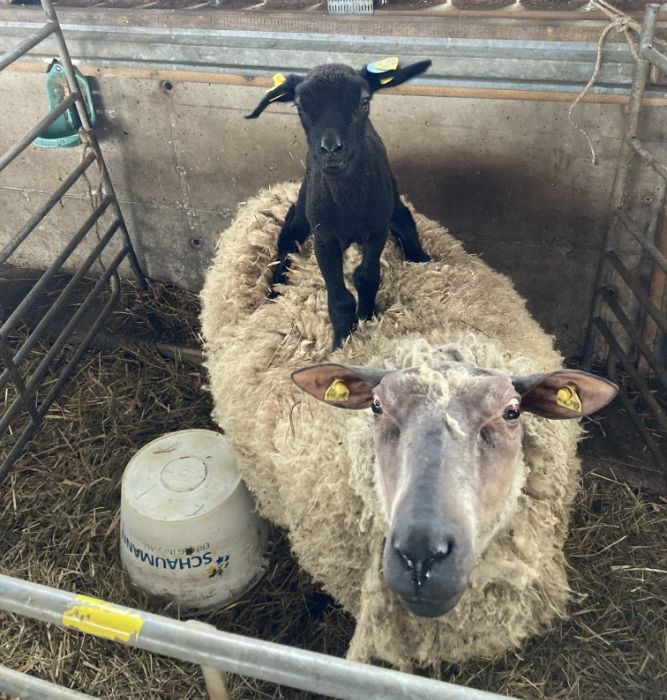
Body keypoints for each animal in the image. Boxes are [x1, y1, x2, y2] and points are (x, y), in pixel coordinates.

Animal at [245, 58, 434, 348]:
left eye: (364, 101)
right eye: (300, 106)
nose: (331, 149)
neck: (348, 209)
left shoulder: (376, 231)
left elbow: (367, 278)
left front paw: (366, 318)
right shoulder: (324, 238)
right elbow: (340, 300)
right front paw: (341, 342)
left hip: (390, 201)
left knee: (404, 219)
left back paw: (419, 255)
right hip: (306, 203)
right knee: (289, 230)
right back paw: (275, 287)